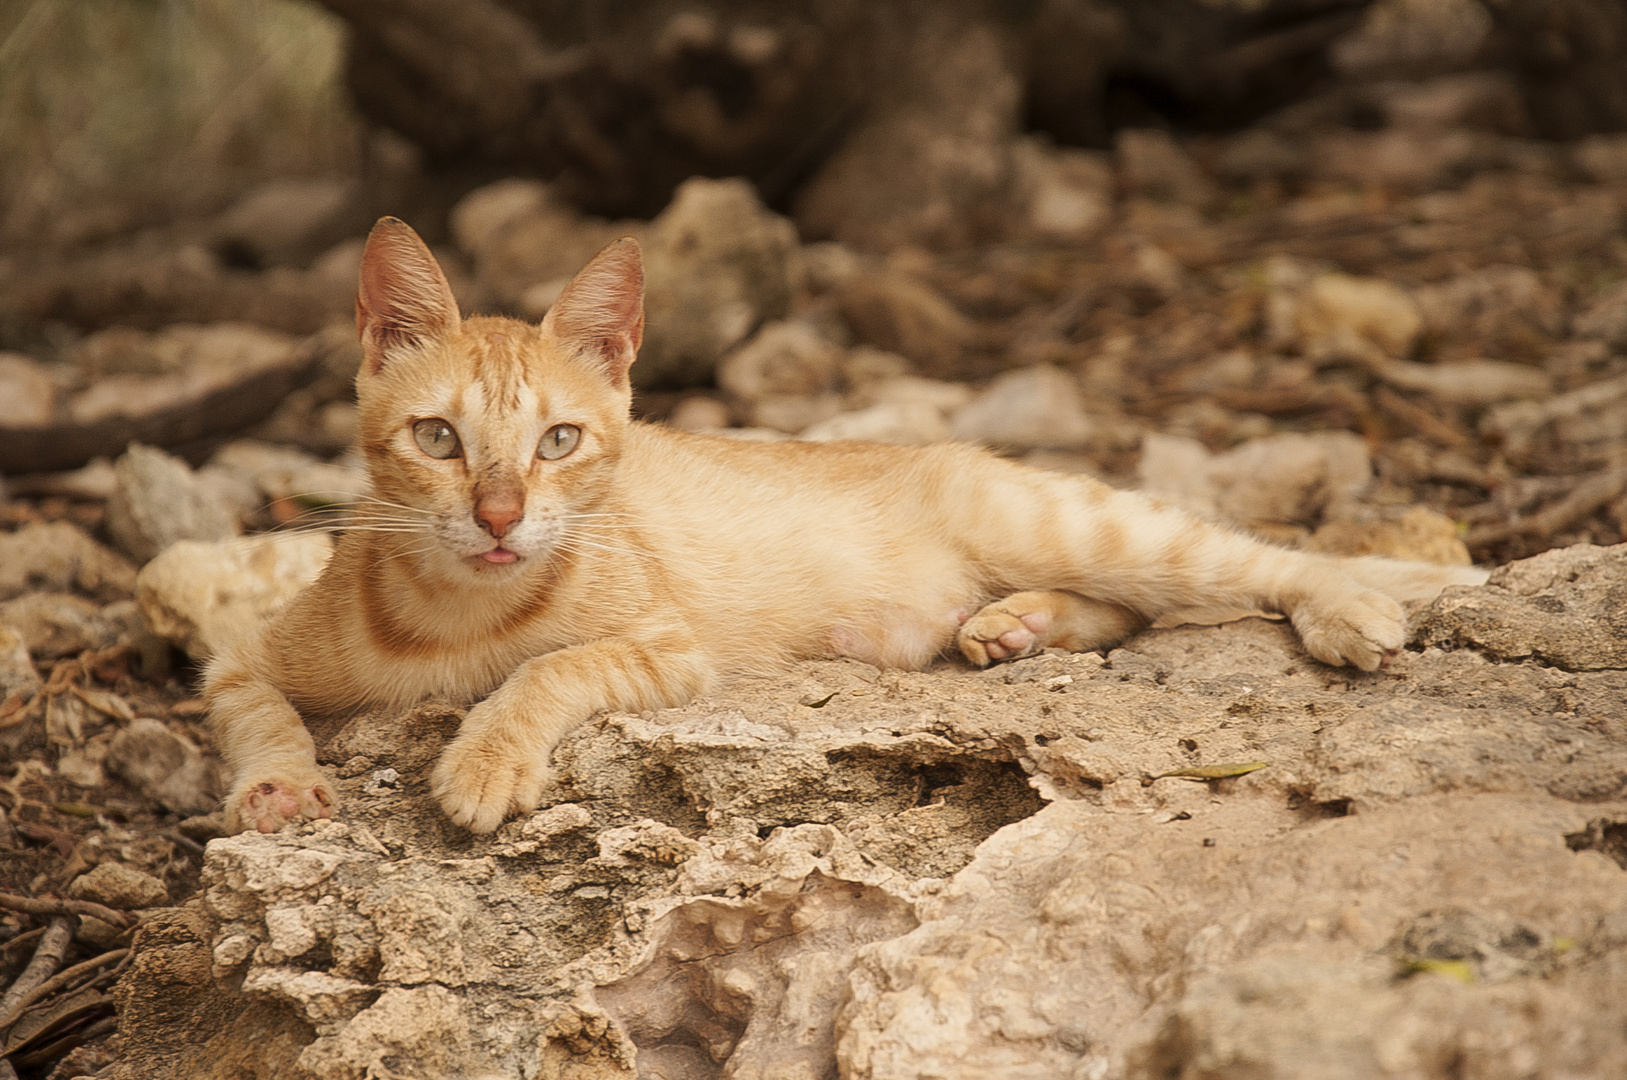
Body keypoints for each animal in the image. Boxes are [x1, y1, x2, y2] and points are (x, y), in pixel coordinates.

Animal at [209, 217, 1490, 832]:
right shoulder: (241, 652)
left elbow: (548, 670)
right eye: (438, 439)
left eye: (557, 443)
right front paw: (276, 786)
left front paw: (484, 754)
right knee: (1128, 608)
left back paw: (1354, 603)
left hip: (1061, 517)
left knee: (1241, 560)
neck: (456, 612)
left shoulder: (668, 645)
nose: (499, 514)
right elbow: (252, 707)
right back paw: (1016, 628)